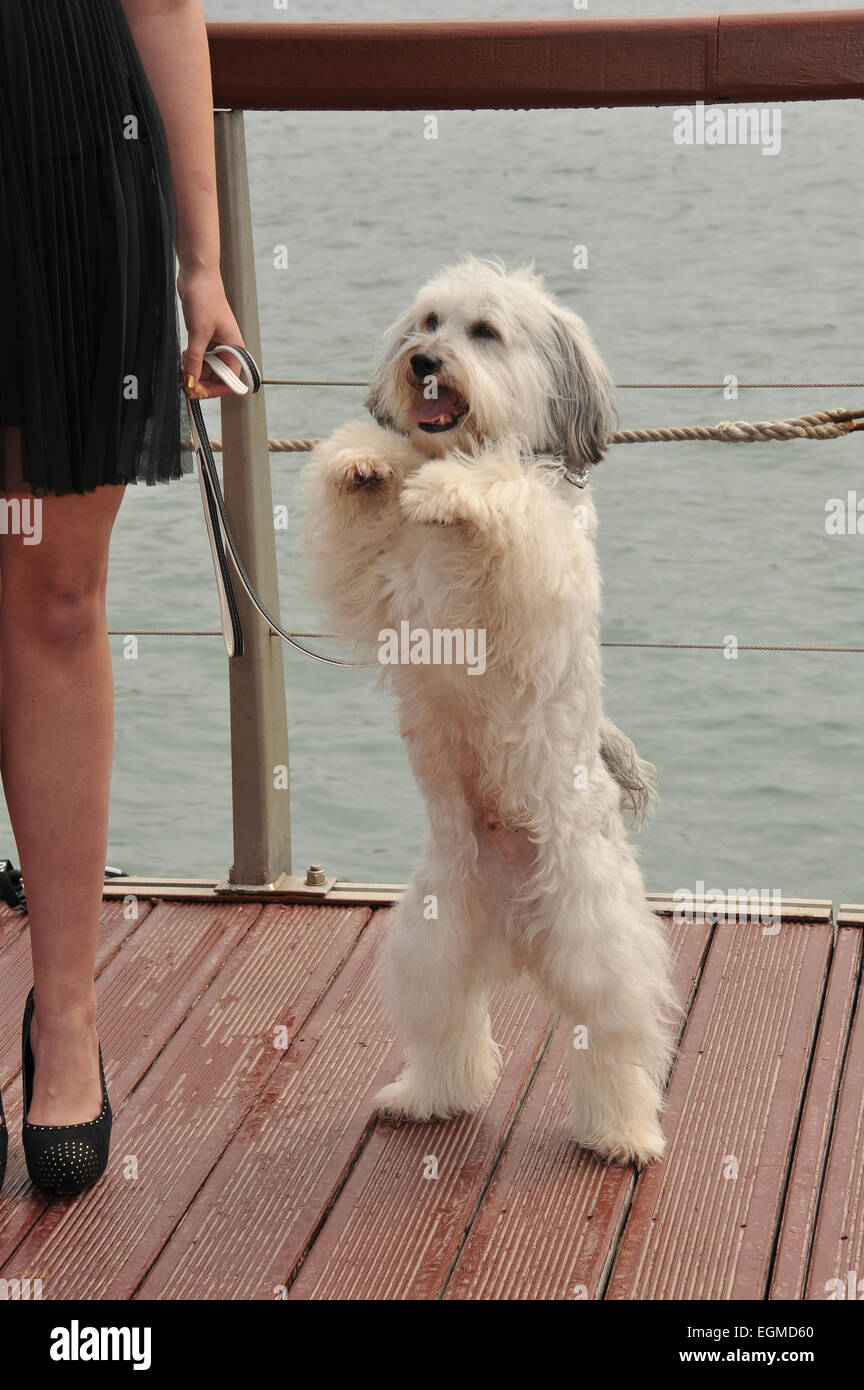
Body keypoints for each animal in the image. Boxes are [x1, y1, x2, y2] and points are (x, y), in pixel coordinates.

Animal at [301, 258, 680, 1162]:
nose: (423, 364)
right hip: (432, 936)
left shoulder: (539, 572)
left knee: (615, 1037)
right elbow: (359, 525)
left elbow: (504, 490)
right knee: (448, 1025)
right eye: (426, 322)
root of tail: (517, 921)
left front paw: (453, 489)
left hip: (594, 936)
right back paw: (425, 1097)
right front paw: (366, 461)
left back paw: (622, 1131)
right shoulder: (381, 587)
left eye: (484, 332)